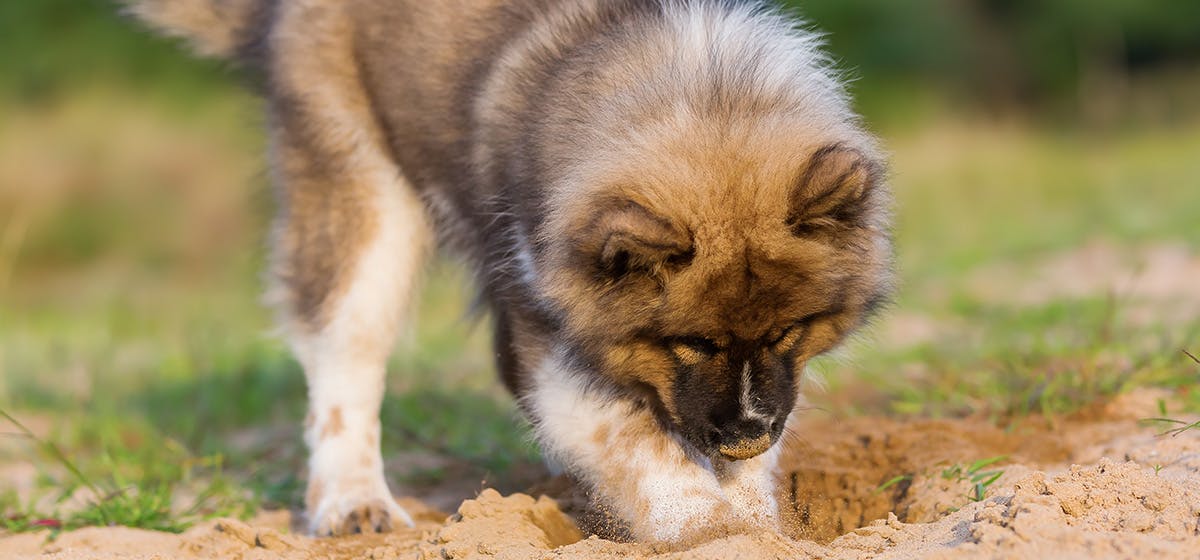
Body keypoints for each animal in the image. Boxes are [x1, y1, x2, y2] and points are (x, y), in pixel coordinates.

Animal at [129, 0, 892, 544]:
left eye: (790, 330)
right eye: (690, 342)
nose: (748, 433)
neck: (701, 100)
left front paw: (757, 521)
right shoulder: (550, 324)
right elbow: (635, 438)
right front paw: (712, 527)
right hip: (362, 196)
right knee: (346, 360)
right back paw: (354, 504)